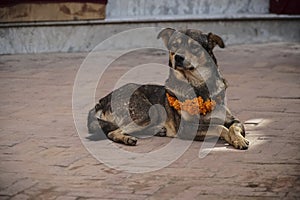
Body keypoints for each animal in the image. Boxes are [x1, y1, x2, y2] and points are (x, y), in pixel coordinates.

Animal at [88, 28, 250, 150]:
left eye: (194, 46)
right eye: (174, 46)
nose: (178, 57)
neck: (197, 85)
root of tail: (104, 99)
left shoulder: (234, 120)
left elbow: (232, 127)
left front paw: (239, 140)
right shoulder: (188, 128)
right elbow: (219, 127)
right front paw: (233, 139)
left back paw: (158, 131)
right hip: (149, 112)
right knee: (112, 132)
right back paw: (127, 139)